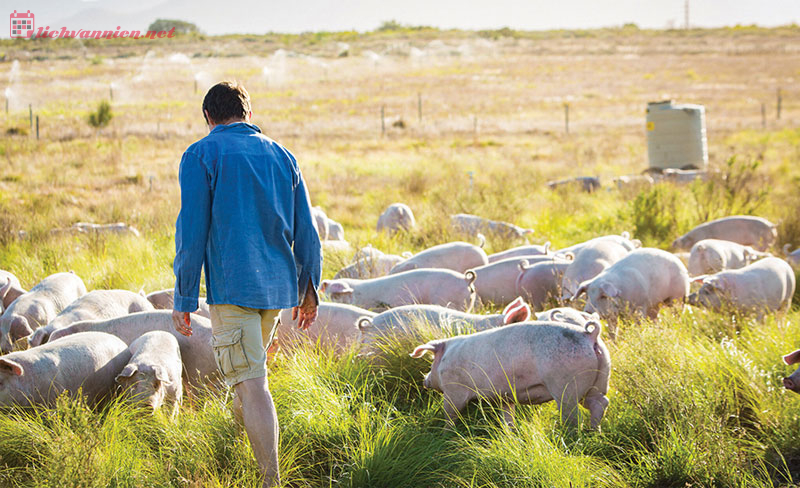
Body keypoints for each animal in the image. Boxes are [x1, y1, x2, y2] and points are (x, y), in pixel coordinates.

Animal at [410, 320, 608, 428]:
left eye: (432, 361)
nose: (425, 380)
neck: (447, 356)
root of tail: (590, 335)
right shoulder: (505, 398)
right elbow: (507, 418)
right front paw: (509, 433)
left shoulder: (454, 390)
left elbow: (450, 414)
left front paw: (447, 432)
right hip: (599, 380)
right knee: (600, 402)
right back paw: (593, 431)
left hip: (566, 385)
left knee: (573, 415)